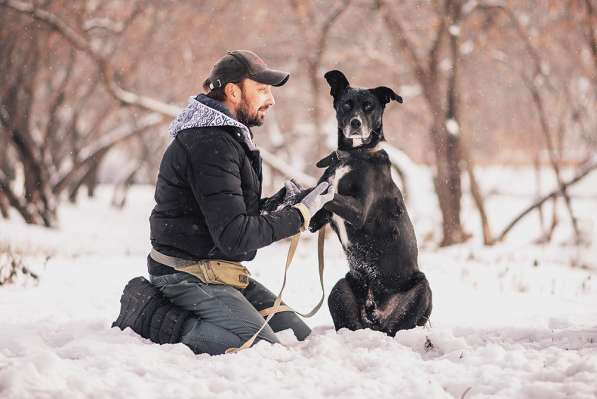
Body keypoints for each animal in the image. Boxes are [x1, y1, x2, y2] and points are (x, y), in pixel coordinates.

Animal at [304, 70, 430, 336]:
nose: (355, 123)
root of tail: (376, 315)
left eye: (369, 107)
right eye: (346, 105)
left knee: (397, 329)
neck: (353, 155)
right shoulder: (315, 222)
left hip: (421, 289)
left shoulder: (359, 210)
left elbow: (325, 192)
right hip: (340, 288)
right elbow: (317, 199)